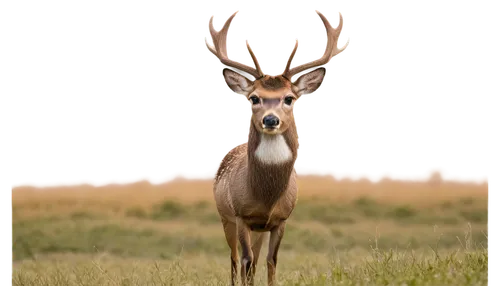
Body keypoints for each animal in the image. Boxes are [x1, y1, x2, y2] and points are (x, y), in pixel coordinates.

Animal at [202, 7, 348, 286]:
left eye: (289, 98)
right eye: (254, 98)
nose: (270, 119)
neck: (266, 196)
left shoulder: (280, 219)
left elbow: (270, 261)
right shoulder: (241, 215)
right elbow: (246, 260)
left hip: (257, 229)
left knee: (254, 260)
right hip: (224, 216)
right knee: (235, 260)